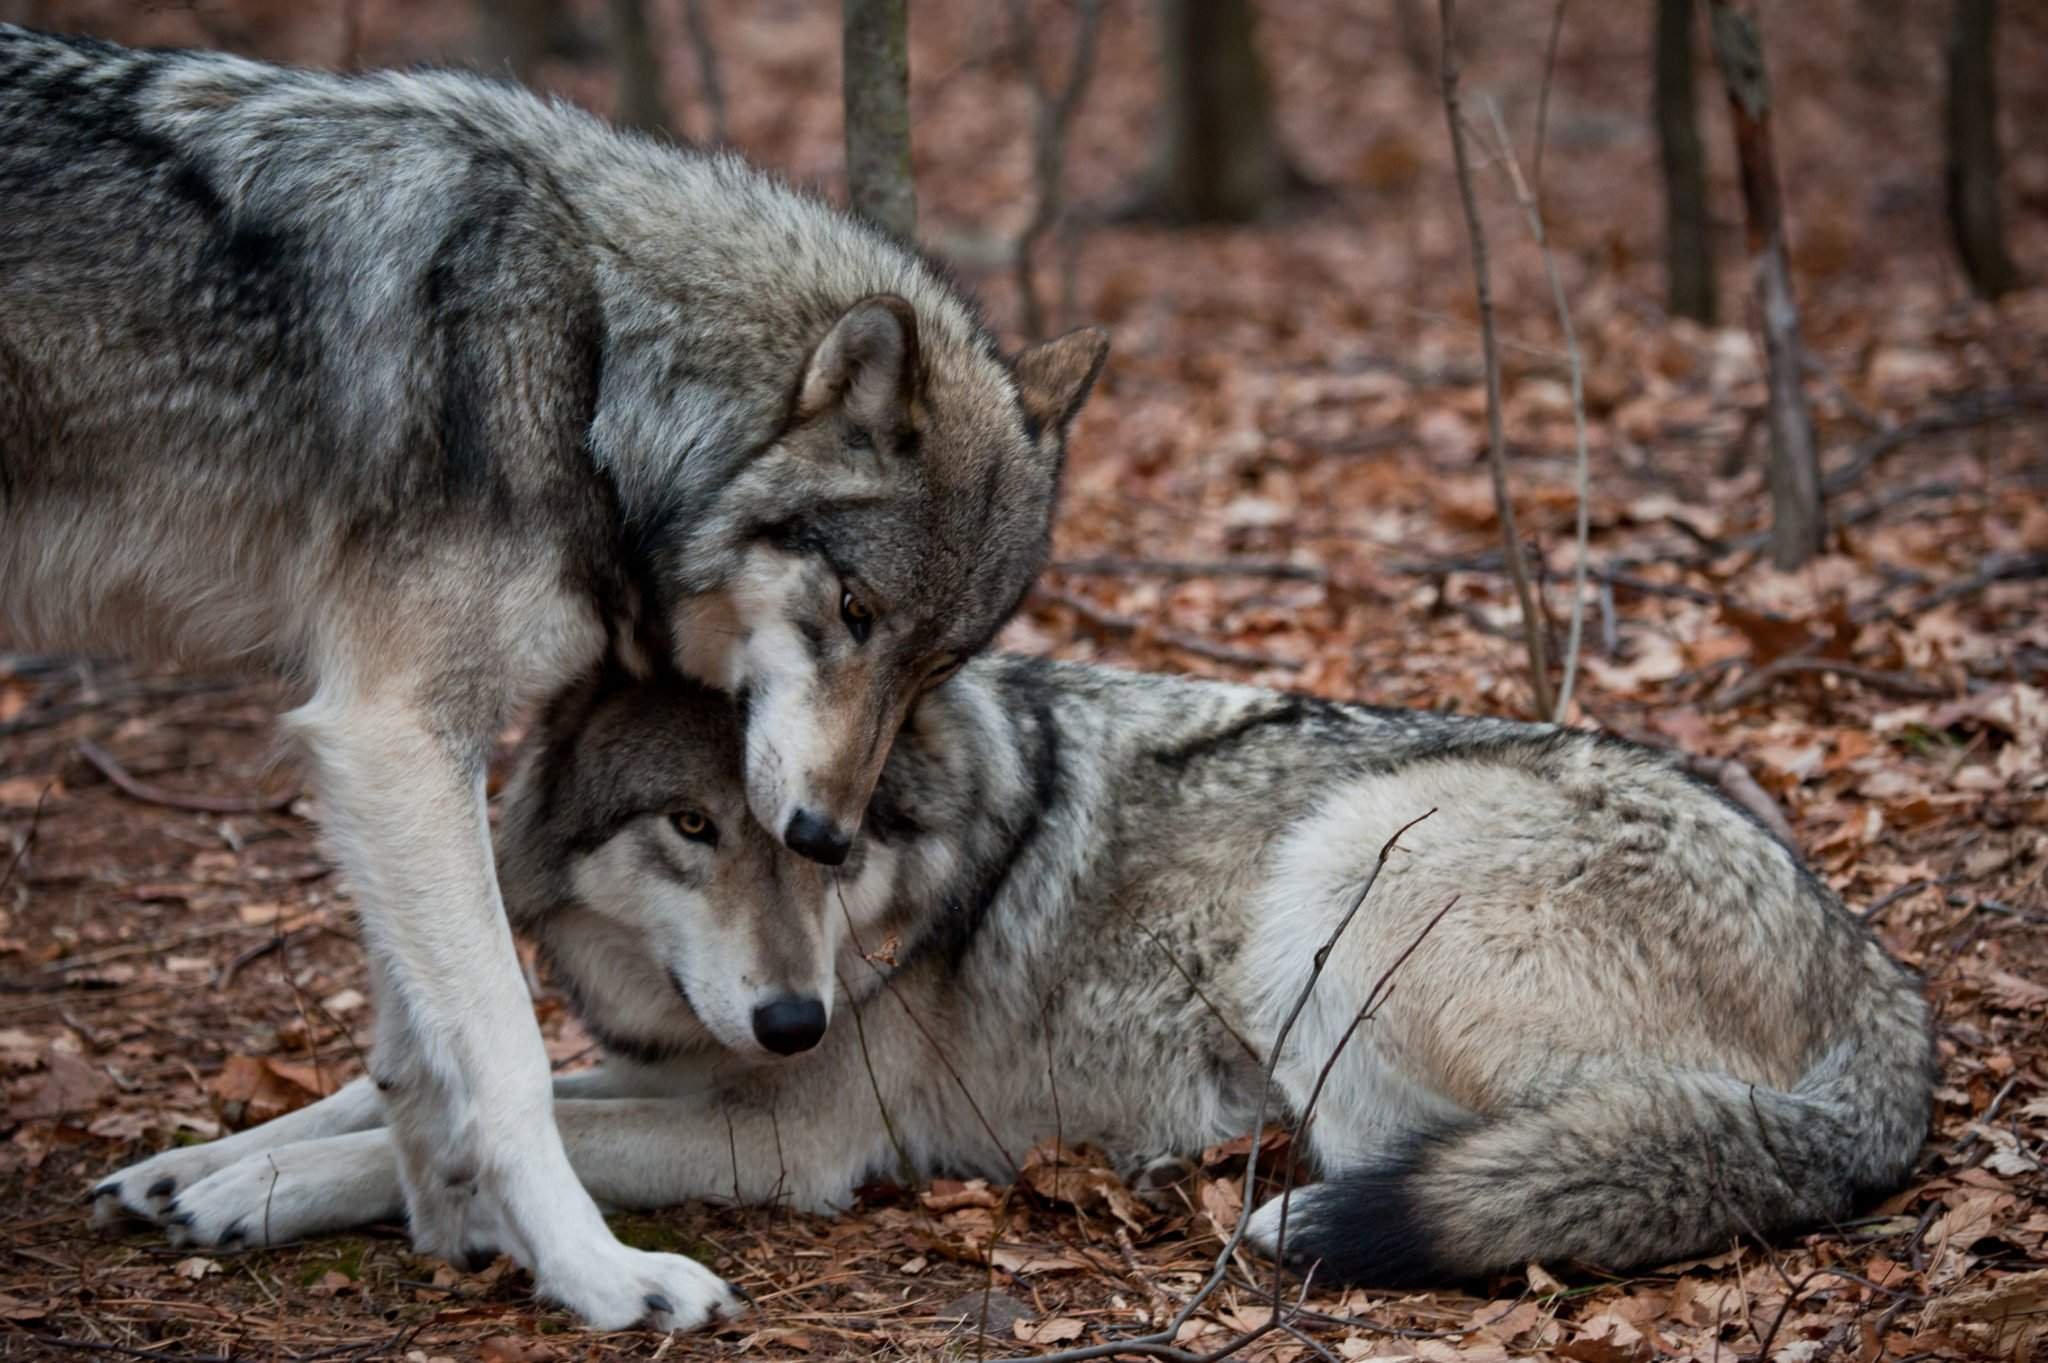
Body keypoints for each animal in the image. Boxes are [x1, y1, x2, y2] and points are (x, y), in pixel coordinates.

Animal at [0, 26, 1114, 1326]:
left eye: (938, 661)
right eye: (853, 611)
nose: (827, 835)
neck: (593, 360)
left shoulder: (397, 749)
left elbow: (409, 1051)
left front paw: (427, 1219)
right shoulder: (393, 724)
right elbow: (506, 1050)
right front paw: (594, 1270)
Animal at [83, 654, 1933, 1277]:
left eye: (824, 835)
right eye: (692, 825)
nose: (791, 1012)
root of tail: (1884, 989)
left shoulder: (787, 1132)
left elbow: (473, 1139)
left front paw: (253, 1199)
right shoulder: (688, 1059)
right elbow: (388, 1092)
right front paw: (183, 1165)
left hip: (1348, 860)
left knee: (1412, 1151)